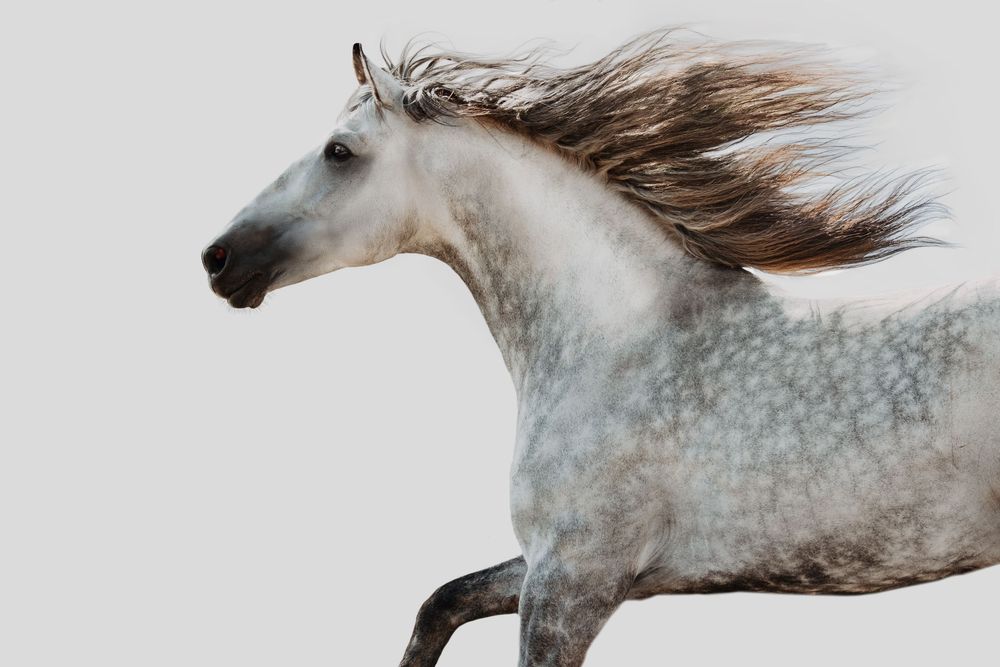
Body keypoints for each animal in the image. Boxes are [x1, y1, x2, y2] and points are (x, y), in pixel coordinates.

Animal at [200, 32, 1000, 666]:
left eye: (339, 152)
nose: (217, 259)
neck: (616, 344)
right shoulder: (550, 563)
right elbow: (440, 602)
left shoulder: (574, 578)